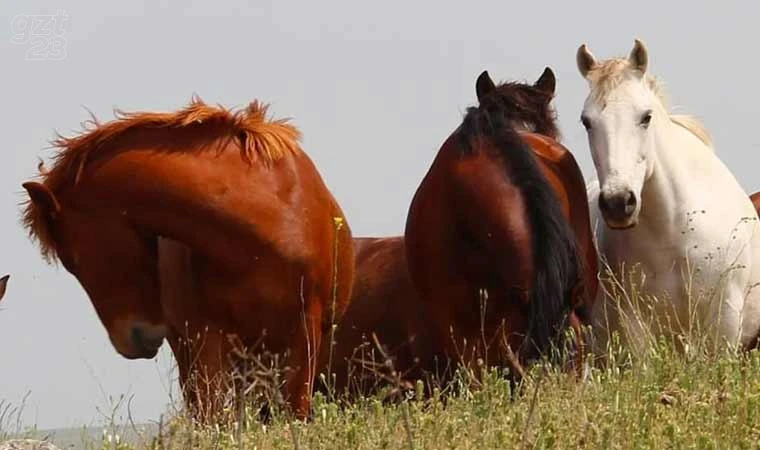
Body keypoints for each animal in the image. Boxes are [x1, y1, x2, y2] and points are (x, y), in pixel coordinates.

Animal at [576, 38, 760, 354]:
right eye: (587, 121)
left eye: (645, 117)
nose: (617, 203)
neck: (672, 234)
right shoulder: (634, 331)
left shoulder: (721, 328)